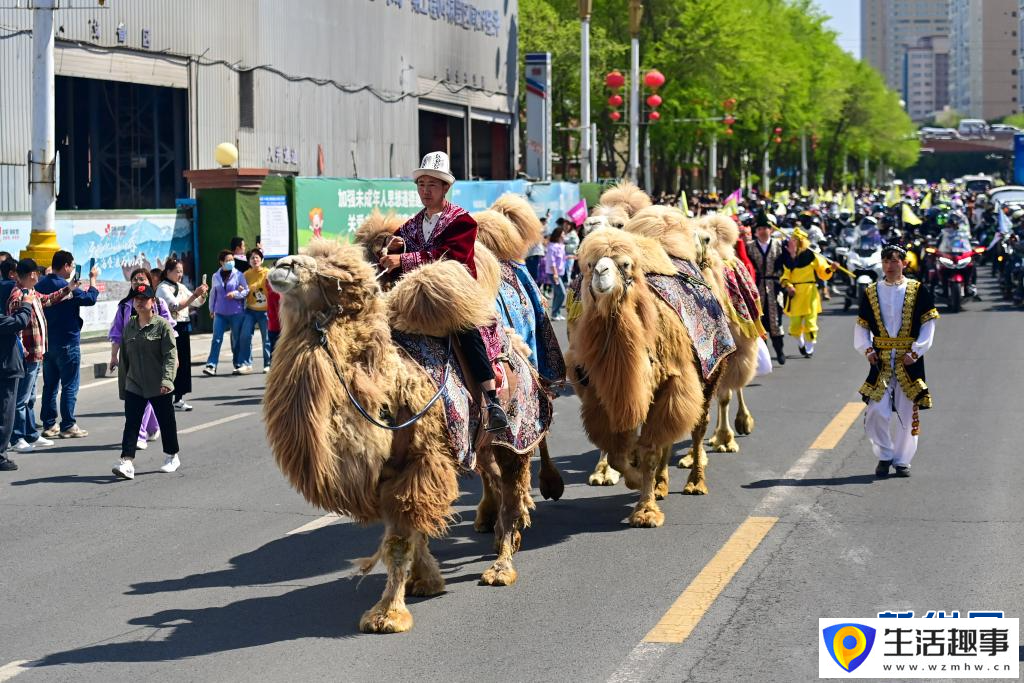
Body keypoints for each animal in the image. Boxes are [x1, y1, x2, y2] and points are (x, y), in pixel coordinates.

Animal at [266, 240, 544, 634]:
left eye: (338, 280)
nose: (283, 265)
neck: (385, 393)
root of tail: (519, 349)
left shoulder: (419, 462)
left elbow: (399, 539)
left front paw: (387, 614)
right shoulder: (390, 474)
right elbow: (412, 532)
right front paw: (424, 581)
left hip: (516, 435)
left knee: (513, 494)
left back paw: (501, 567)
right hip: (481, 447)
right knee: (496, 482)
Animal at [565, 229, 716, 528]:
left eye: (625, 264)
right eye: (589, 264)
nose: (600, 272)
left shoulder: (672, 385)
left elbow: (649, 451)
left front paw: (646, 511)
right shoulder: (606, 395)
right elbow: (617, 452)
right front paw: (635, 480)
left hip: (709, 377)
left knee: (697, 428)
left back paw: (695, 483)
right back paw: (660, 484)